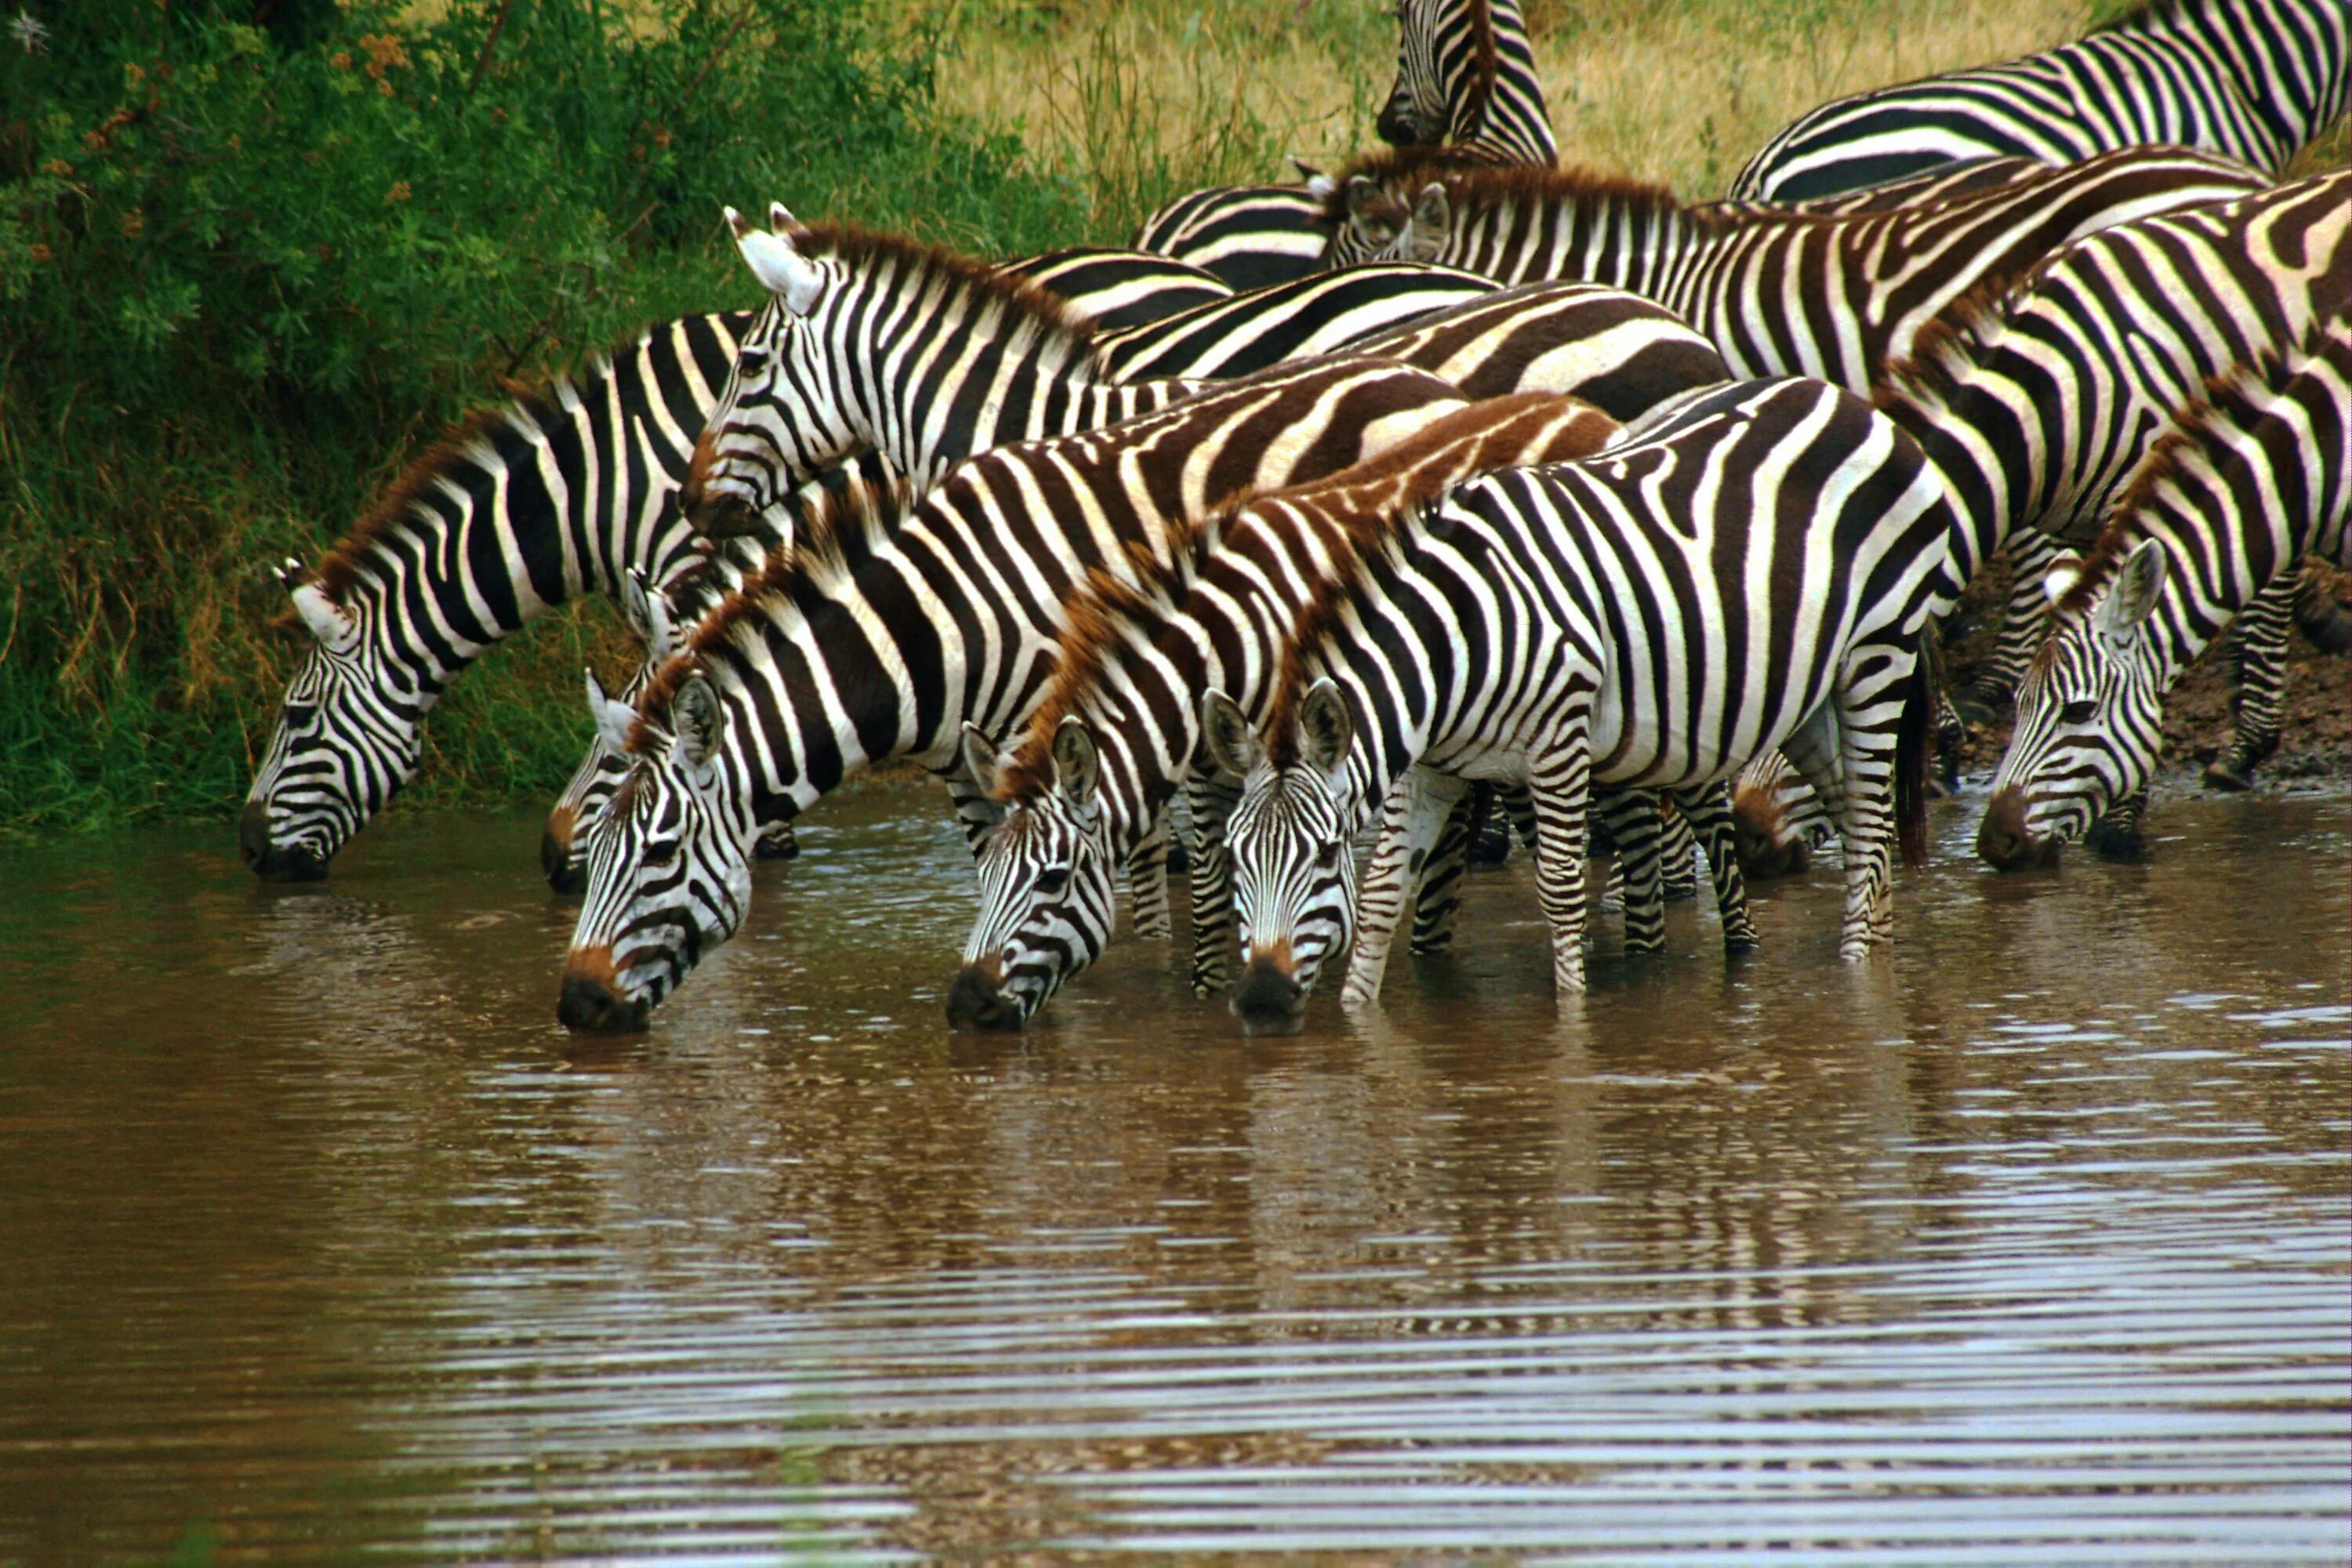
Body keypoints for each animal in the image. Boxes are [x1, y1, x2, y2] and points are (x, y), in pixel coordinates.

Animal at [553, 361, 1477, 1034]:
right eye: (601, 848)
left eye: (658, 854)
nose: (576, 1006)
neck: (935, 627)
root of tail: (1426, 382)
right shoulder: (973, 764)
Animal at [1204, 376, 1957, 1034]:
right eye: (1236, 856)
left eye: (1327, 853)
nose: (1261, 998)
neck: (1456, 638)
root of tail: (1849, 400)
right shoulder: (1432, 766)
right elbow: (1385, 893)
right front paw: (1361, 1024)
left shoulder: (1559, 739)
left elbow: (1561, 893)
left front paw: (1573, 1027)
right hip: (1803, 693)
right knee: (1862, 825)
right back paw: (1878, 958)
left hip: (1877, 652)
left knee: (1869, 831)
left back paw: (1859, 984)